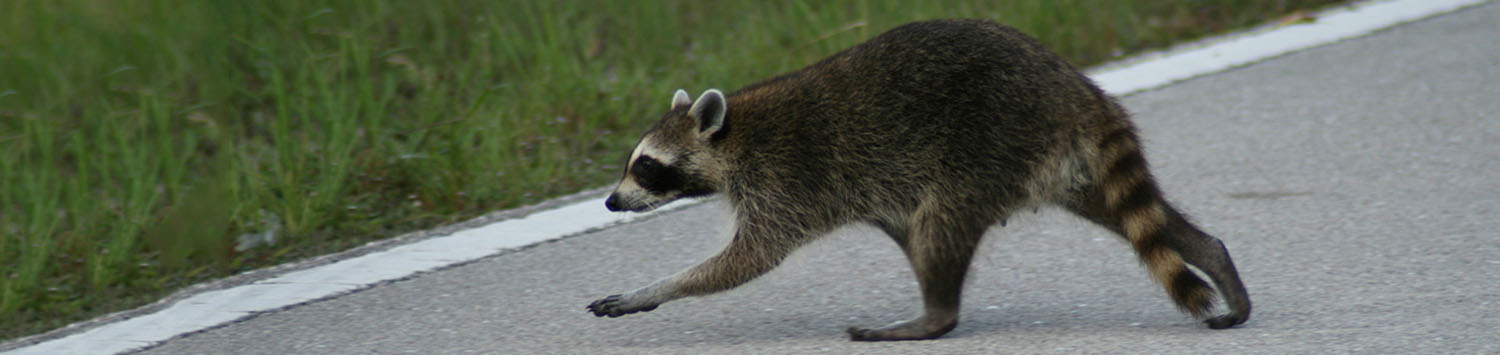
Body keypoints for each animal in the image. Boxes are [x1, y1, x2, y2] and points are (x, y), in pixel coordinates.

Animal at [588, 19, 1254, 341]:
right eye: (630, 162)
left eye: (646, 166)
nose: (612, 201)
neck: (734, 137)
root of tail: (1074, 86)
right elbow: (899, 228)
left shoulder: (784, 179)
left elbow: (747, 260)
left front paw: (656, 289)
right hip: (1061, 163)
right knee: (1135, 215)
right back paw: (1212, 255)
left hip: (990, 142)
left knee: (942, 222)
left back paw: (935, 318)